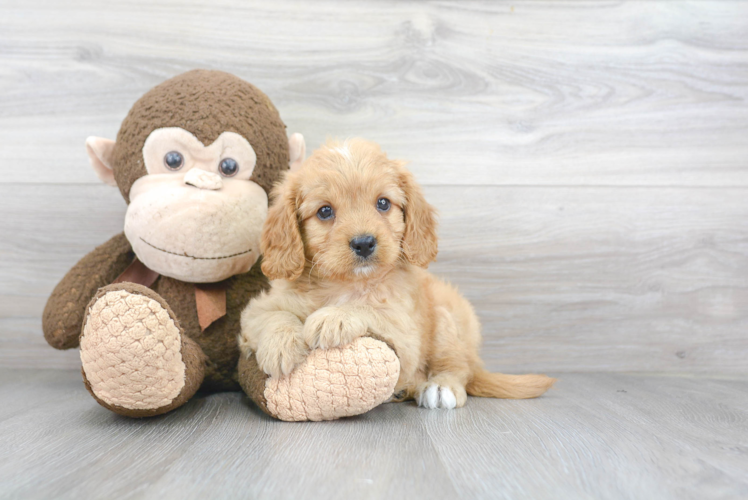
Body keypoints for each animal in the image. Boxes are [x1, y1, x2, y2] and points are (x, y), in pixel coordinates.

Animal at [240, 139, 556, 408]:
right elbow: (274, 316)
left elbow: (369, 309)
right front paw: (280, 347)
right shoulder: (256, 311)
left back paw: (440, 387)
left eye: (383, 203)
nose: (364, 243)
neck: (345, 284)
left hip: (446, 319)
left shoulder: (405, 331)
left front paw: (333, 317)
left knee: (459, 368)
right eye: (325, 211)